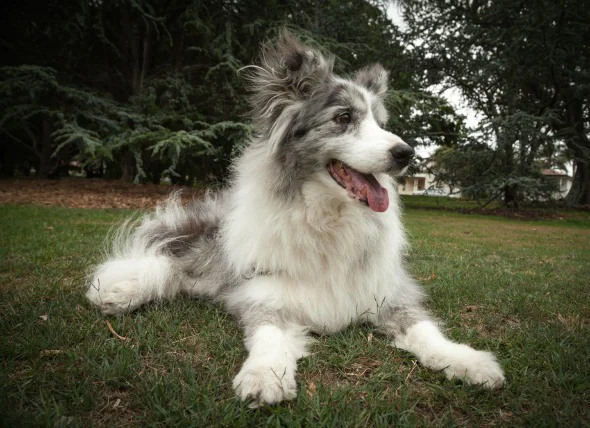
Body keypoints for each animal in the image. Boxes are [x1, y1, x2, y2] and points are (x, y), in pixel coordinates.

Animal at [85, 31, 506, 406]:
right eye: (343, 117)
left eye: (380, 123)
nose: (407, 153)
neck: (327, 217)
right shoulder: (262, 292)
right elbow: (268, 334)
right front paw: (264, 375)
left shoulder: (389, 291)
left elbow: (424, 328)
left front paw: (466, 360)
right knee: (172, 264)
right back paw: (121, 291)